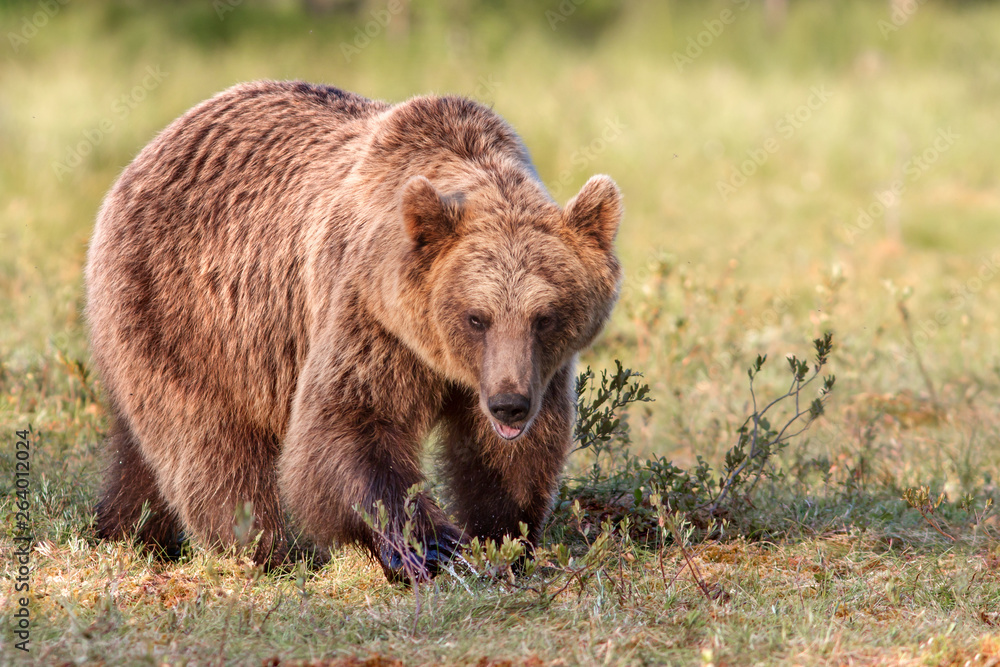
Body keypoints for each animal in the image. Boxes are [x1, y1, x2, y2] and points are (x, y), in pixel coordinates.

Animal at [85, 80, 623, 582]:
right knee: (210, 443)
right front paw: (433, 547)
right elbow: (348, 428)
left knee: (141, 453)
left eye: (545, 316)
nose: (509, 404)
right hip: (188, 313)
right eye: (476, 317)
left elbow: (511, 458)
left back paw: (125, 532)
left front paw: (502, 541)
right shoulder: (369, 314)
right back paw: (268, 550)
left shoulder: (536, 370)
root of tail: (152, 148)